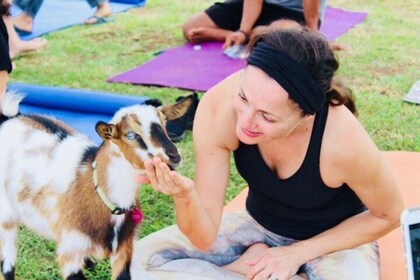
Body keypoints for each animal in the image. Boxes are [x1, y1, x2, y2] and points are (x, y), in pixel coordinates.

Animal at [0, 92, 180, 280]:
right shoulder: (71, 253)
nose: (175, 156)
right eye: (131, 135)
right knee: (7, 260)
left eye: (164, 124)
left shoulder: (124, 249)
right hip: (6, 215)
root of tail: (13, 118)